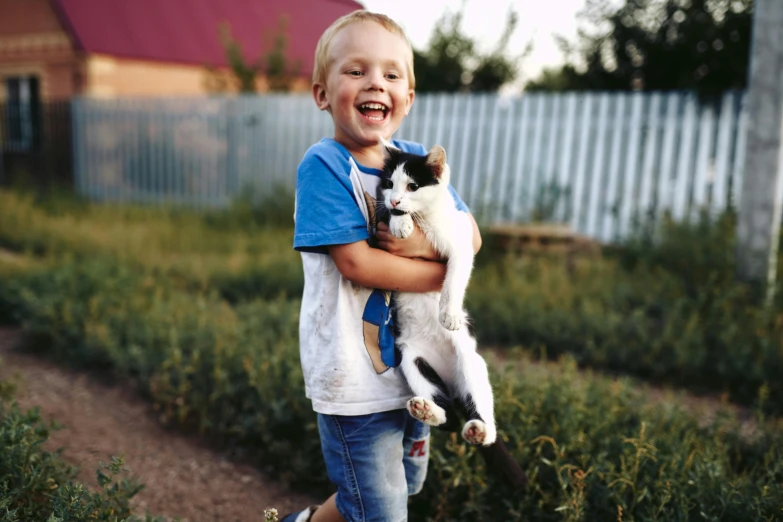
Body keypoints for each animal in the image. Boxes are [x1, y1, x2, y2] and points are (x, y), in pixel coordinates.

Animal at [380, 140, 496, 444]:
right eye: (389, 183)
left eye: (413, 186)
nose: (395, 200)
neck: (427, 218)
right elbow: (386, 213)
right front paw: (400, 220)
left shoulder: (462, 242)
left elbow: (453, 279)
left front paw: (449, 315)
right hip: (411, 360)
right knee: (446, 414)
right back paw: (427, 409)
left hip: (470, 361)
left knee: (479, 414)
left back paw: (479, 430)